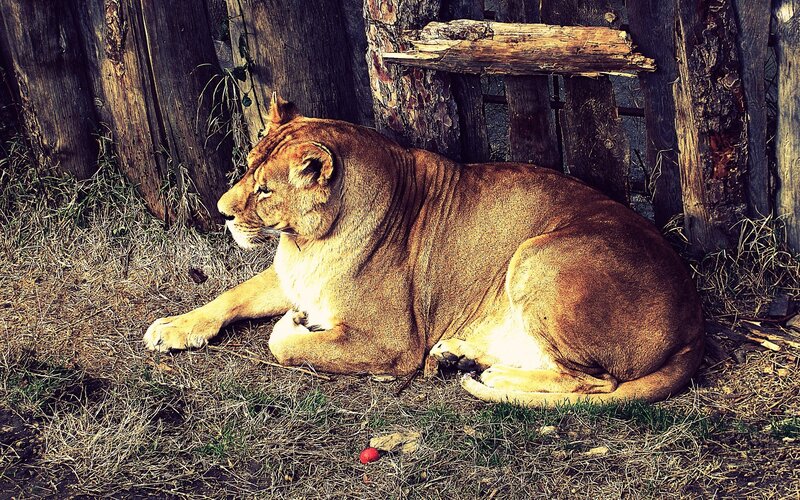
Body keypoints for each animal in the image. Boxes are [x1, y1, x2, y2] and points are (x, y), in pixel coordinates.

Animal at [144, 94, 704, 407]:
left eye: (264, 190)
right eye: (246, 168)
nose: (221, 211)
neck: (307, 243)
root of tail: (693, 321)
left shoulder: (392, 343)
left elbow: (284, 346)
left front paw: (295, 324)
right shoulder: (289, 276)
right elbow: (229, 297)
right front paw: (172, 328)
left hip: (537, 255)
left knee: (597, 381)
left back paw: (493, 373)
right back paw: (458, 355)